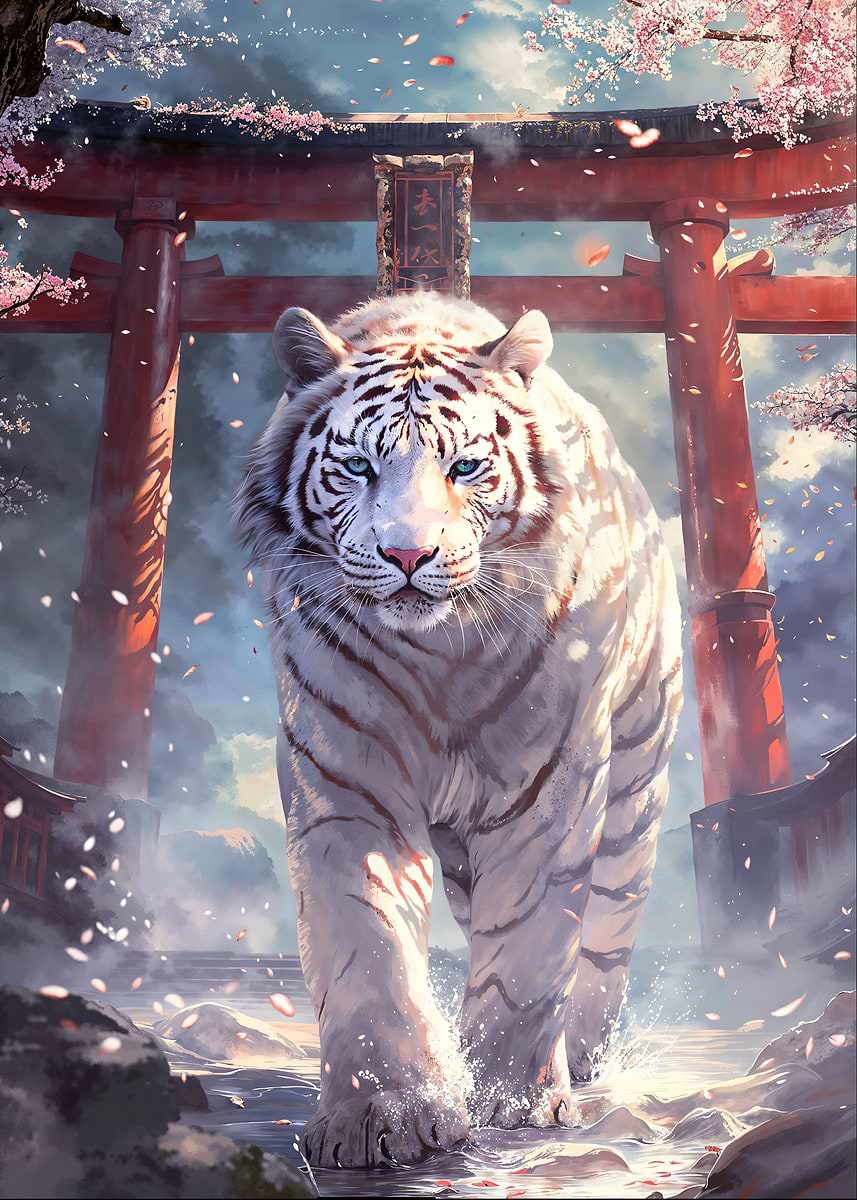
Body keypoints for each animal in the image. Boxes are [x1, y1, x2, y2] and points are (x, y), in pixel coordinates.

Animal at [234, 291, 683, 1169]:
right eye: (359, 467)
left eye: (464, 468)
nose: (407, 554)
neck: (438, 655)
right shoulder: (345, 780)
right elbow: (365, 944)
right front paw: (383, 1118)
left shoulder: (551, 790)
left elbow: (529, 956)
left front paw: (514, 1102)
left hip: (634, 789)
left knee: (604, 935)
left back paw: (579, 1059)